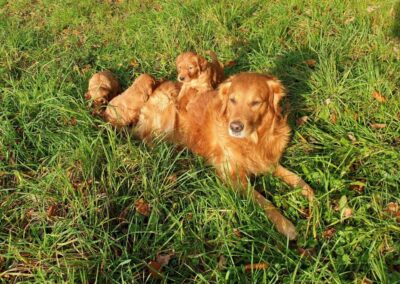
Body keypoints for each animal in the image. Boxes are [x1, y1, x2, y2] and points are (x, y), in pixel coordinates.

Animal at [178, 73, 316, 240]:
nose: (235, 127)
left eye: (256, 102)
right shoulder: (232, 176)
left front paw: (314, 200)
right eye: (232, 100)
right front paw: (285, 225)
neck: (253, 141)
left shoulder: (268, 163)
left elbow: (298, 179)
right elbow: (263, 201)